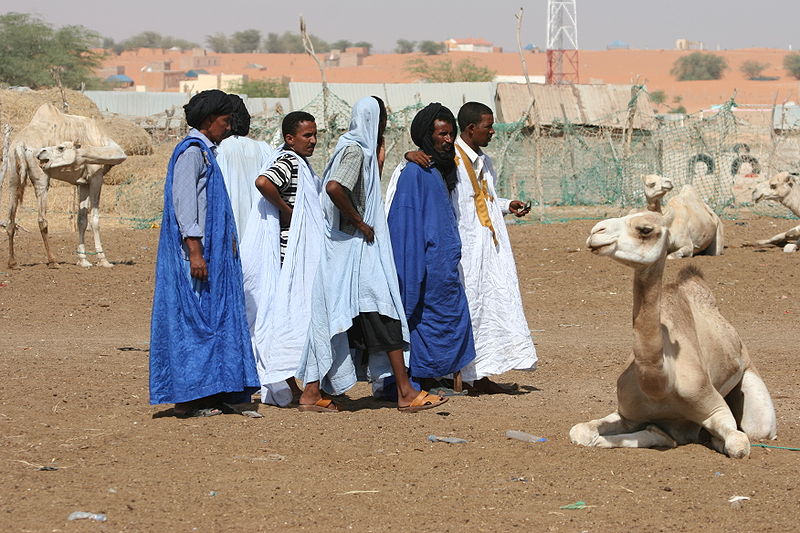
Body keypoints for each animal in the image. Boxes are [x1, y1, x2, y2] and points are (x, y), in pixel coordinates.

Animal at [0, 103, 126, 268]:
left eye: (61, 147)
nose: (41, 153)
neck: (101, 141)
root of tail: (20, 144)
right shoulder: (96, 178)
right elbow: (95, 220)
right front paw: (103, 260)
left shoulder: (83, 183)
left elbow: (81, 220)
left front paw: (83, 260)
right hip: (41, 178)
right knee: (42, 219)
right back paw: (52, 261)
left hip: (12, 176)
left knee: (11, 219)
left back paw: (13, 263)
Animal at [572, 211, 780, 458]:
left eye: (645, 229)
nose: (596, 232)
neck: (661, 385)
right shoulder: (627, 414)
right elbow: (580, 432)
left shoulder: (714, 408)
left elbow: (737, 444)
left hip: (753, 392)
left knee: (757, 429)